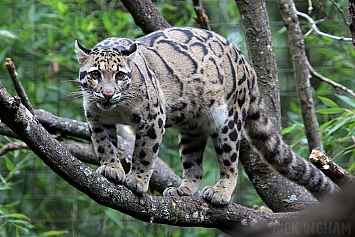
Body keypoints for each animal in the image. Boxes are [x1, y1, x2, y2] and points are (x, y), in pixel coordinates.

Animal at [76, 26, 340, 206]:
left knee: (231, 164)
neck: (116, 108)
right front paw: (112, 169)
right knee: (194, 165)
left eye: (120, 75)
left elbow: (144, 152)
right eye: (95, 74)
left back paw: (220, 192)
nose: (108, 93)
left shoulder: (153, 118)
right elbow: (104, 146)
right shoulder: (96, 120)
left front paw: (137, 180)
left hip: (229, 123)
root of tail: (246, 63)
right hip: (192, 130)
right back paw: (183, 190)